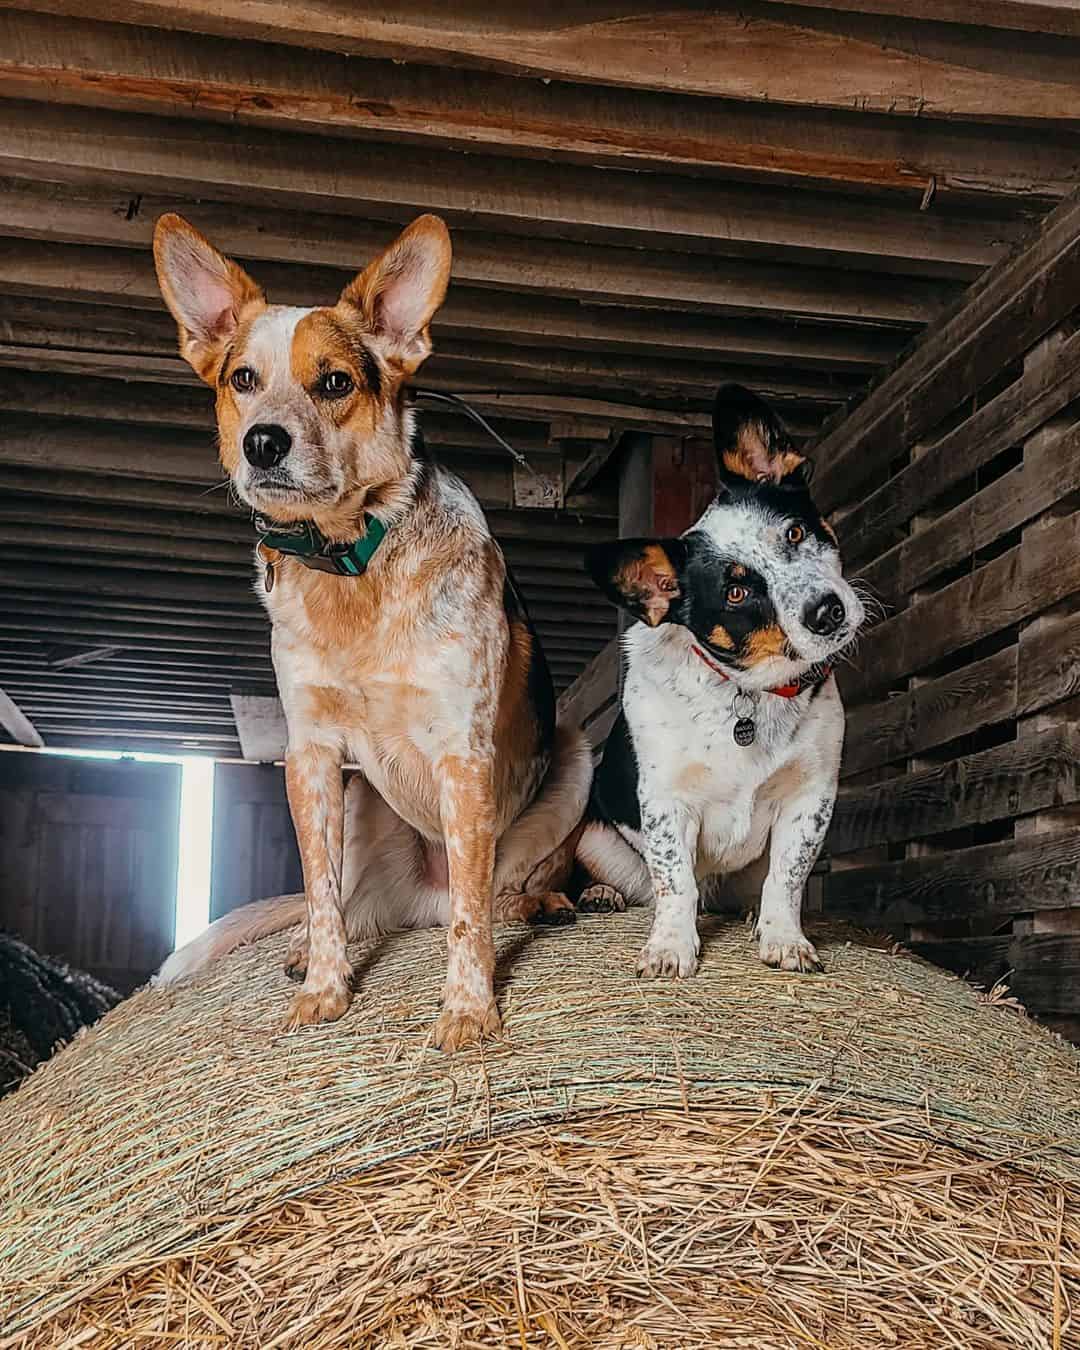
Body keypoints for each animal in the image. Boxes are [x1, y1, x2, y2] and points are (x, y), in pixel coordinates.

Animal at [151, 213, 591, 1053]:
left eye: (334, 383)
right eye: (242, 380)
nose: (262, 443)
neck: (350, 562)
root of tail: (418, 896)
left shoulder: (462, 752)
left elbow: (470, 920)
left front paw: (468, 1010)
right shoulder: (313, 753)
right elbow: (320, 892)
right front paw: (323, 991)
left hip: (574, 755)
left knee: (496, 891)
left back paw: (539, 904)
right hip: (362, 804)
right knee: (352, 904)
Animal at [577, 386, 864, 988]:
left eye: (794, 533)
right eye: (735, 594)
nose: (827, 611)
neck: (750, 694)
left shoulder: (810, 798)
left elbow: (787, 877)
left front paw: (784, 939)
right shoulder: (665, 802)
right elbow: (675, 881)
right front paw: (669, 947)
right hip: (592, 836)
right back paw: (600, 894)